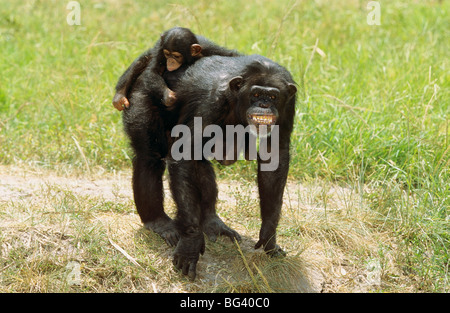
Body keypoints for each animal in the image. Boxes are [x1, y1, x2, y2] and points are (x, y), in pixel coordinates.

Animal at [118, 29, 239, 246]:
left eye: (176, 55)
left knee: (197, 160)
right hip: (139, 101)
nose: (171, 61)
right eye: (168, 55)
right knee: (149, 158)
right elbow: (153, 65)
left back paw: (212, 222)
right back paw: (158, 222)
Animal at [167, 54, 298, 280]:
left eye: (273, 97)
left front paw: (269, 236)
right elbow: (184, 152)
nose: (264, 104)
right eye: (256, 94)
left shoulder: (288, 107)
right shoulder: (210, 102)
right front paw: (190, 243)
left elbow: (275, 155)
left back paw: (212, 222)